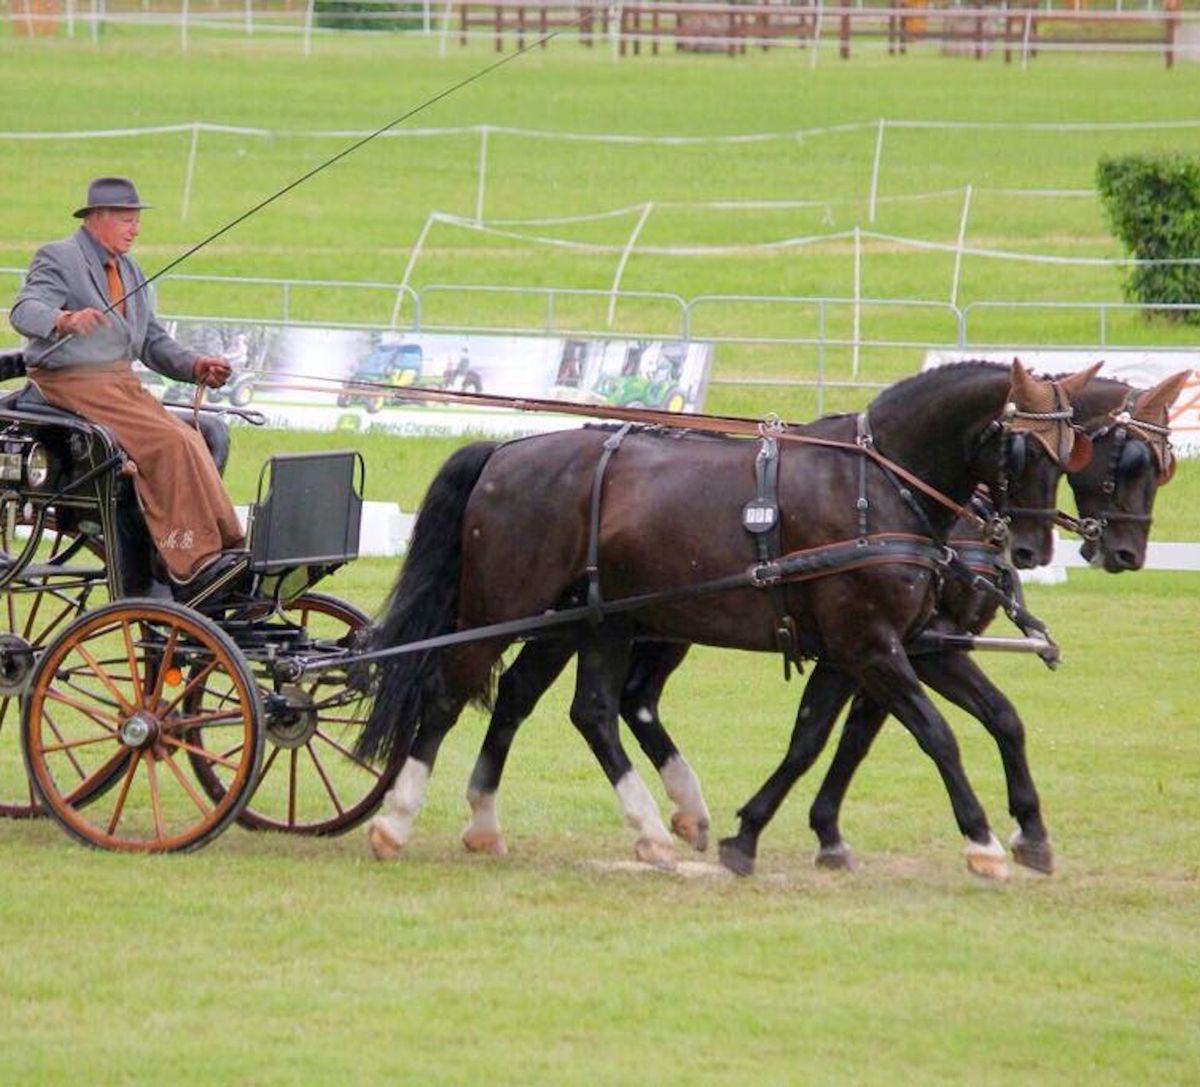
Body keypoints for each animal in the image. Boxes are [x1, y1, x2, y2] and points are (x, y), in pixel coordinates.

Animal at [356, 359, 1097, 878]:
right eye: (1022, 450)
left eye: (1071, 452)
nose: (1031, 549)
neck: (877, 488)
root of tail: (505, 452)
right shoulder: (871, 646)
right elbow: (935, 735)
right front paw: (983, 841)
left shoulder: (910, 644)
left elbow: (994, 718)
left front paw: (1031, 832)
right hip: (508, 609)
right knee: (449, 694)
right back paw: (396, 821)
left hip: (594, 620)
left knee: (579, 708)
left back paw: (613, 826)